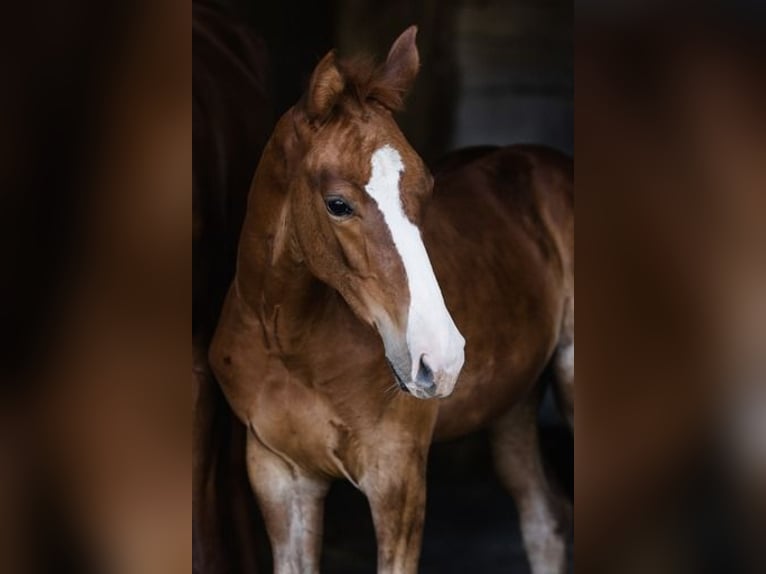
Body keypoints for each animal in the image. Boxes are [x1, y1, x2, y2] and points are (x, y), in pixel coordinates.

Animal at [210, 25, 576, 574]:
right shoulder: (279, 476)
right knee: (543, 519)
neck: (289, 340)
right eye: (337, 204)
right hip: (512, 404)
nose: (442, 360)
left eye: (426, 189)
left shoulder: (396, 476)